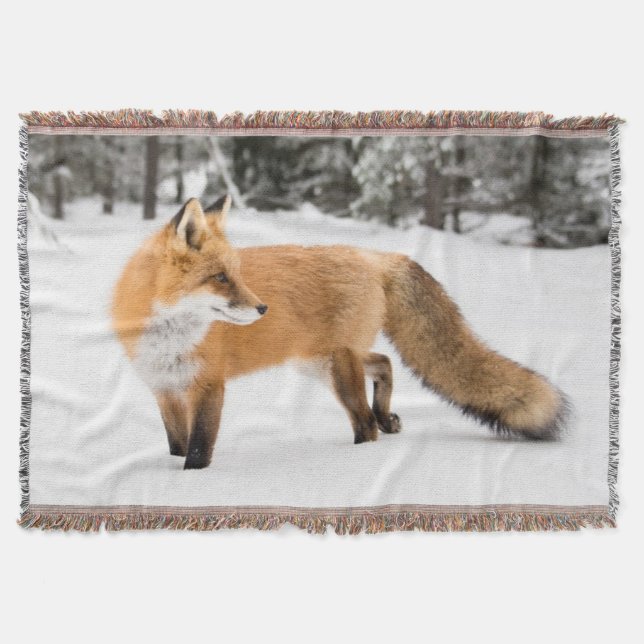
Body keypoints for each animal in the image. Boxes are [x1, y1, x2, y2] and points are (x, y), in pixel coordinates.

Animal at [112, 196, 567, 470]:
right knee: (384, 363)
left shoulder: (208, 386)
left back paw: (357, 457)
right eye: (221, 278)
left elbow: (198, 449)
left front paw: (191, 481)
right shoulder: (165, 389)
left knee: (364, 422)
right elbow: (176, 445)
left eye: (237, 275)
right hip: (318, 361)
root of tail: (374, 256)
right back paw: (387, 417)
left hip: (334, 367)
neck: (168, 337)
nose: (262, 308)